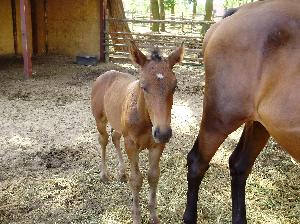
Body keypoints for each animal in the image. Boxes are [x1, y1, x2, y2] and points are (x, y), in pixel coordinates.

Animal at [90, 41, 184, 223]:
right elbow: (136, 180)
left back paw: (121, 172)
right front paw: (136, 217)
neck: (146, 121)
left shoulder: (156, 146)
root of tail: (105, 74)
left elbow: (153, 176)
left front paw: (154, 216)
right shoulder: (131, 145)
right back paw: (104, 174)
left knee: (115, 137)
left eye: (174, 86)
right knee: (103, 140)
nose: (163, 133)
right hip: (100, 120)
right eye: (143, 86)